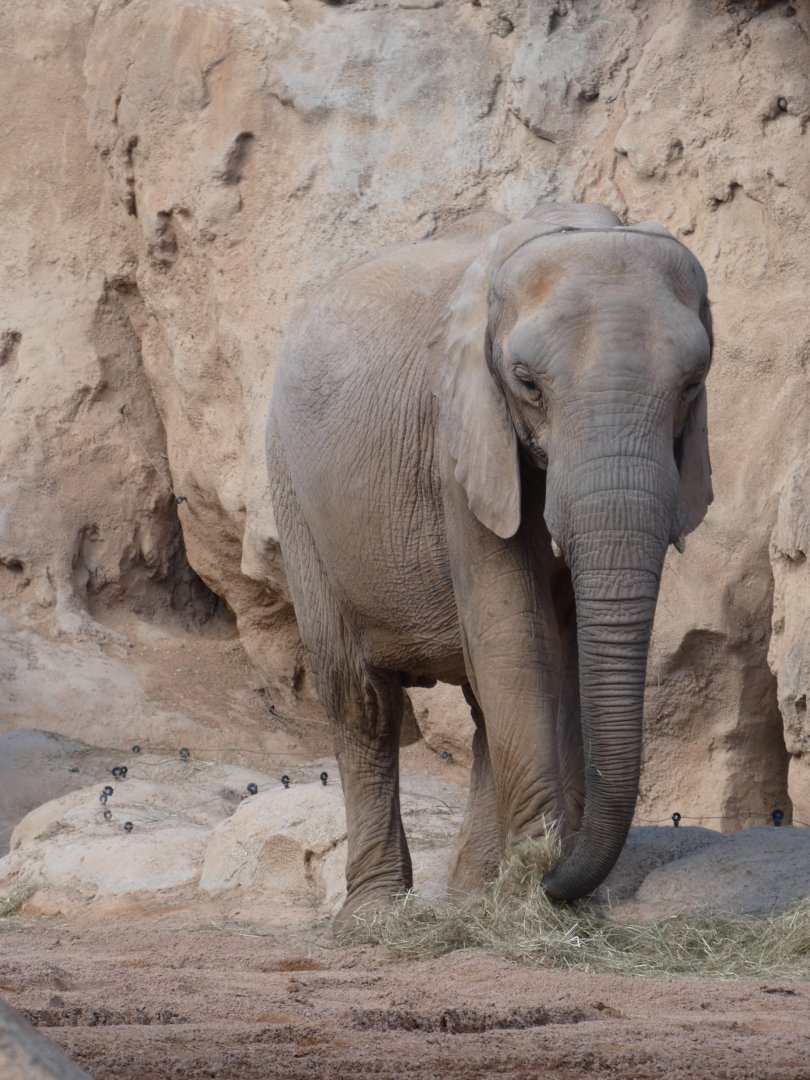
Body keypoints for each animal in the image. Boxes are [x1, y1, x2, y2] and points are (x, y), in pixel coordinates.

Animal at [267, 202, 713, 932]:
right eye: (527, 383)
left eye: (693, 383)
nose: (561, 878)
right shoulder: (459, 435)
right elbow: (516, 635)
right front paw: (537, 886)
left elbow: (556, 654)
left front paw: (537, 889)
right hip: (292, 487)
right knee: (363, 701)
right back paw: (376, 916)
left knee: (478, 703)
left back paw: (471, 897)